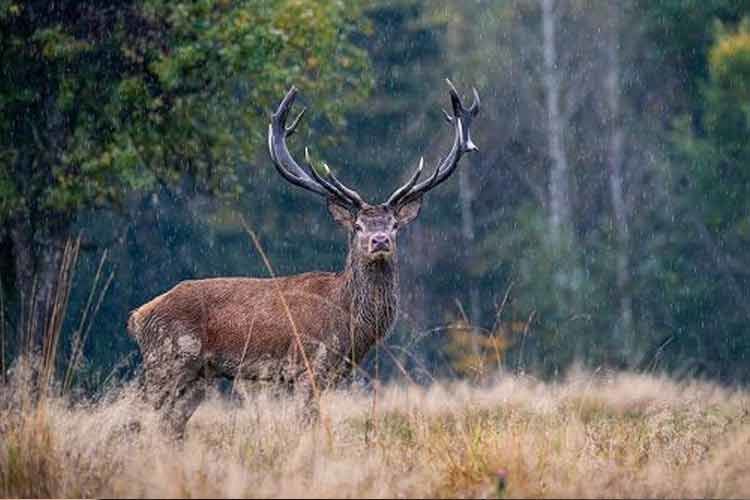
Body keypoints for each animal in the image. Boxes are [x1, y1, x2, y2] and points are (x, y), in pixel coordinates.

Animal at [126, 80, 480, 438]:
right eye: (357, 226)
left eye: (394, 225)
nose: (379, 240)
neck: (348, 322)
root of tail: (138, 317)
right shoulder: (307, 364)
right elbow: (307, 423)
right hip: (168, 358)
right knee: (130, 414)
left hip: (197, 374)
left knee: (169, 425)